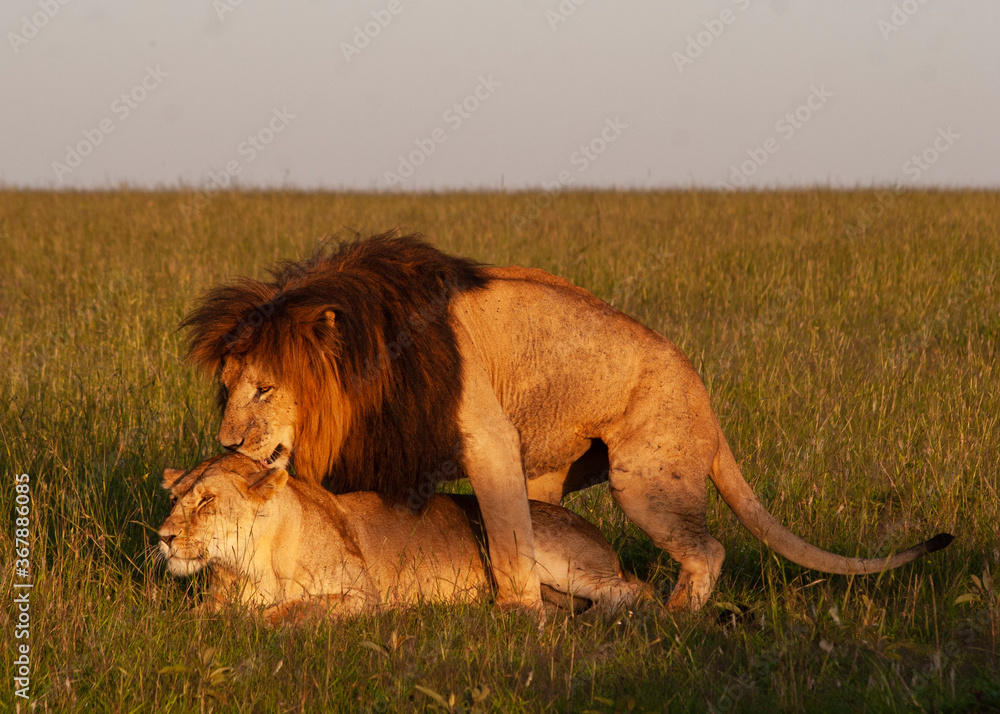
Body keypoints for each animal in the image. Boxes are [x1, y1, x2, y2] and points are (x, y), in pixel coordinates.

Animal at [158, 453, 651, 622]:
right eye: (176, 497)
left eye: (205, 501)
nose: (162, 537)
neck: (252, 565)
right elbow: (198, 615)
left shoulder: (363, 596)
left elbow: (290, 609)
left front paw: (257, 621)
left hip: (555, 557)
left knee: (637, 590)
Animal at [181, 234, 953, 611]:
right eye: (226, 389)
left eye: (265, 388)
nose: (226, 442)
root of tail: (703, 391)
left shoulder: (488, 437)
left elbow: (508, 544)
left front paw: (515, 618)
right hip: (555, 470)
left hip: (644, 478)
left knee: (706, 551)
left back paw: (672, 617)